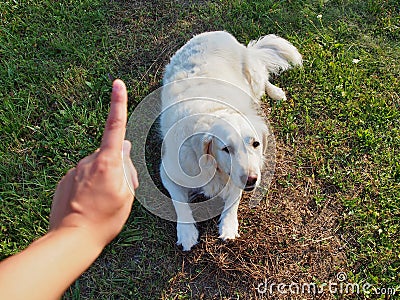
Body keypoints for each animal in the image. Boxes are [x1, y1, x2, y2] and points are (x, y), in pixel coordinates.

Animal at [159, 31, 300, 251]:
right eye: (226, 149)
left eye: (256, 144)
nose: (252, 180)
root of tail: (217, 33)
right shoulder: (168, 172)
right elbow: (179, 203)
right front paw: (187, 233)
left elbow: (234, 198)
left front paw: (228, 226)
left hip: (253, 77)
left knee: (263, 77)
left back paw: (276, 92)